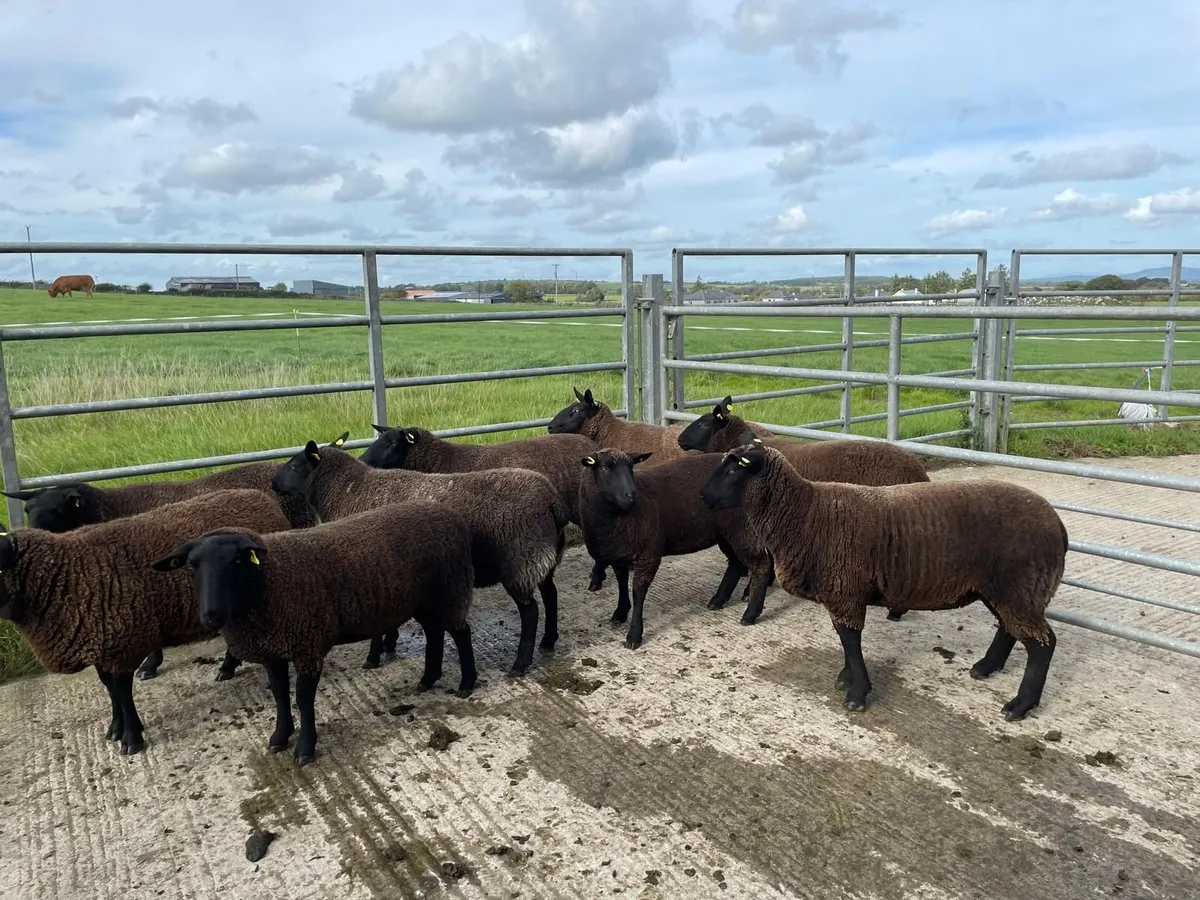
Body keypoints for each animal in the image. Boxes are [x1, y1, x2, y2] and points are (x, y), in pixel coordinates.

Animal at [0, 489, 294, 755]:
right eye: (27, 510)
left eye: (57, 510)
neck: (67, 572)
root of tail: (260, 497)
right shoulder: (101, 643)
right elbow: (109, 689)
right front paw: (115, 728)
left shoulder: (123, 642)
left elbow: (122, 692)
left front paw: (131, 738)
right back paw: (227, 668)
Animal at [151, 500, 477, 766]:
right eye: (191, 567)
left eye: (236, 562)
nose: (211, 616)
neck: (269, 579)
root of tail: (451, 515)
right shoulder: (273, 649)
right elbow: (280, 695)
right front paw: (279, 737)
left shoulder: (307, 644)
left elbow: (303, 700)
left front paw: (305, 749)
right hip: (424, 599)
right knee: (434, 633)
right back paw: (428, 679)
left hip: (449, 587)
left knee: (461, 632)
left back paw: (466, 683)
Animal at [272, 434, 569, 676]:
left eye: (295, 466)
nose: (274, 484)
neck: (348, 490)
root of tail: (551, 502)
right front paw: (389, 645)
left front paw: (373, 656)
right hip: (541, 558)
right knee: (551, 594)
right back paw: (549, 640)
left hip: (520, 563)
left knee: (530, 612)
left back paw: (520, 663)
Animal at [577, 448, 766, 650]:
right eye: (604, 468)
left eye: (631, 467)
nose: (631, 495)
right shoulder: (618, 553)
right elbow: (621, 583)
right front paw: (620, 612)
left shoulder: (648, 553)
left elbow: (638, 592)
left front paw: (634, 635)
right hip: (725, 532)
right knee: (736, 563)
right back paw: (718, 600)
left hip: (743, 527)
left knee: (760, 564)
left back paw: (750, 612)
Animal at [701, 442, 1066, 721]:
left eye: (733, 471)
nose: (703, 497)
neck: (806, 515)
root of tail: (1058, 525)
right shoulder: (842, 592)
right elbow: (844, 640)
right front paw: (846, 677)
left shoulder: (845, 589)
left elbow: (850, 640)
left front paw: (857, 693)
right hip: (1004, 588)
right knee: (1009, 627)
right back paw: (986, 667)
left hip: (1021, 585)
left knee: (1042, 644)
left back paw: (1020, 705)